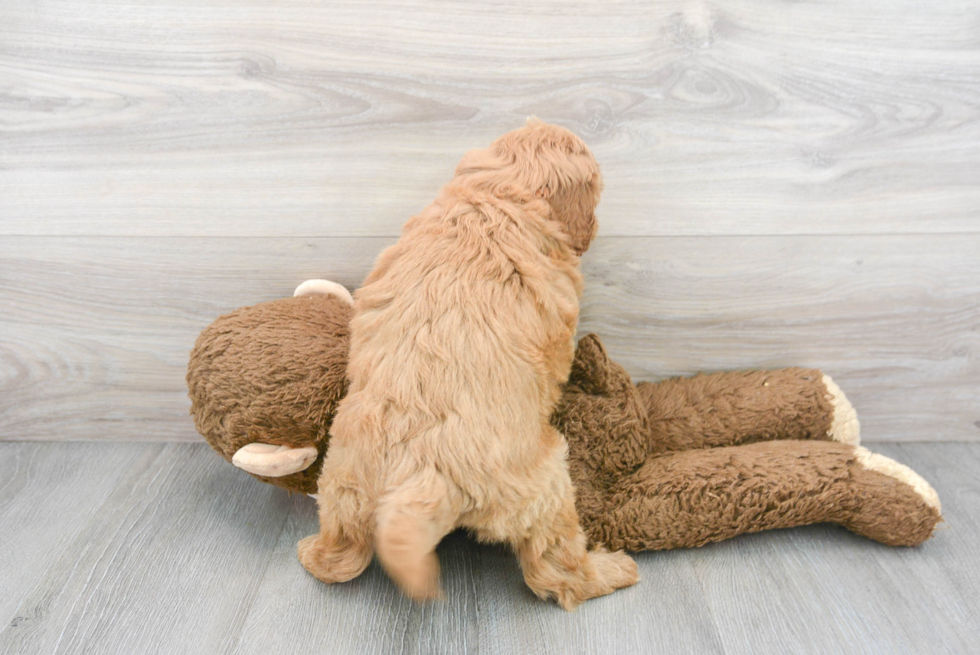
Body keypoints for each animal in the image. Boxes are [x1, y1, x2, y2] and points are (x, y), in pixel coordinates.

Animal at [294, 118, 640, 608]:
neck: (495, 196)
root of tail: (420, 474)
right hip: (547, 484)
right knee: (556, 571)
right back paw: (612, 570)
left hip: (342, 484)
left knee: (340, 558)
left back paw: (313, 553)